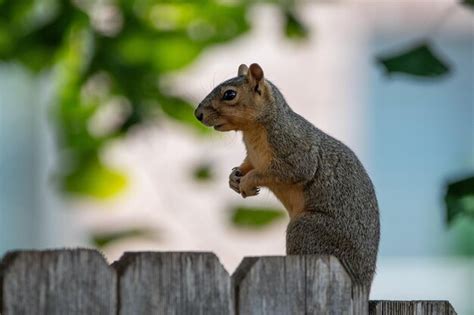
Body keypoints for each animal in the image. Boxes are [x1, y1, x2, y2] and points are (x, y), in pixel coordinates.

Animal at [194, 63, 380, 288]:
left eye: (229, 94)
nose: (197, 114)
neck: (253, 131)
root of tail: (363, 282)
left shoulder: (295, 153)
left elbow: (277, 172)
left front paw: (247, 181)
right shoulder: (252, 157)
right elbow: (247, 165)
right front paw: (234, 179)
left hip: (308, 230)